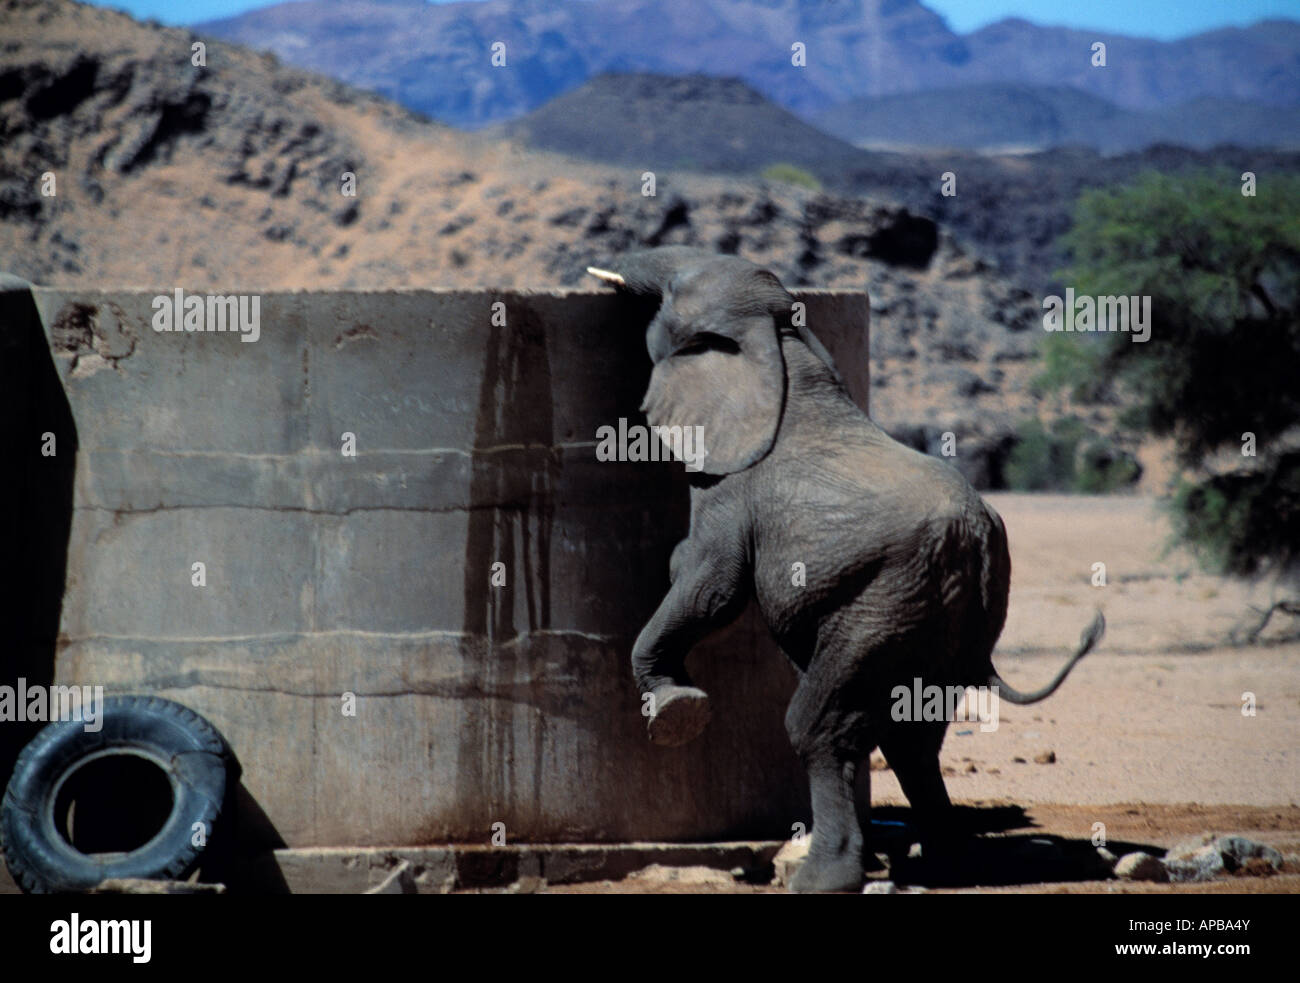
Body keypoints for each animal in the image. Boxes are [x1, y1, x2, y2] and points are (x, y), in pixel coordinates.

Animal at [587, 246, 1105, 892]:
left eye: (676, 290)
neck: (781, 342)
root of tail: (978, 544)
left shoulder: (736, 483)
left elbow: (713, 587)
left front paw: (676, 709)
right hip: (951, 622)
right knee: (910, 735)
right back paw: (947, 864)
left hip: (887, 605)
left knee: (821, 727)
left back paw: (822, 878)